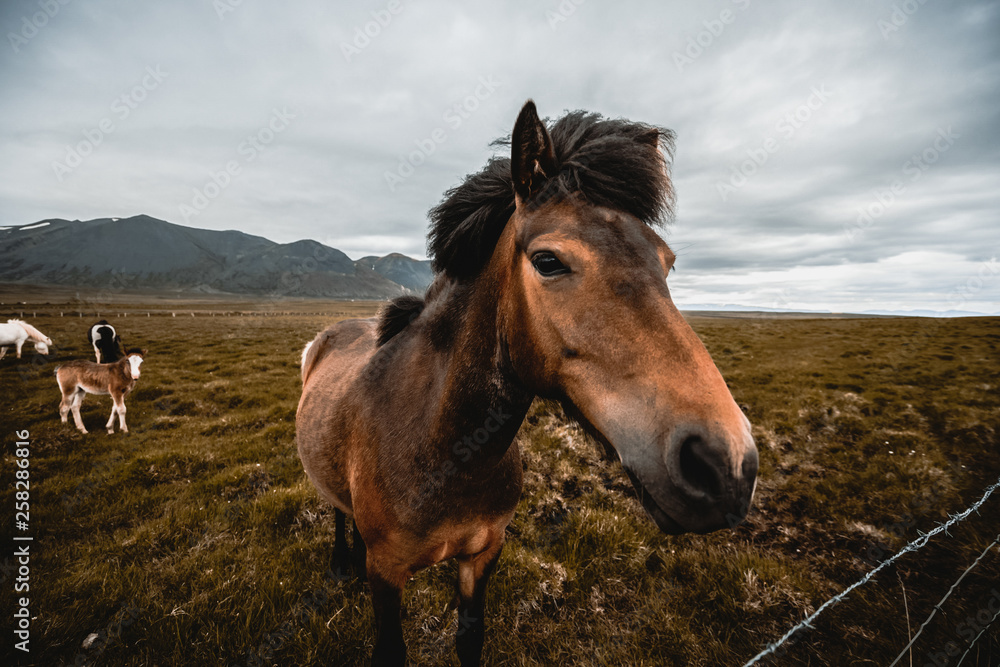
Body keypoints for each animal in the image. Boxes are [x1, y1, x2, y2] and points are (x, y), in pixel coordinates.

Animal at [296, 100, 756, 667]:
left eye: (667, 263)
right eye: (547, 261)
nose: (726, 464)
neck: (442, 448)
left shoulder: (484, 553)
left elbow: (469, 639)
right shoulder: (388, 571)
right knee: (336, 511)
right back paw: (343, 562)